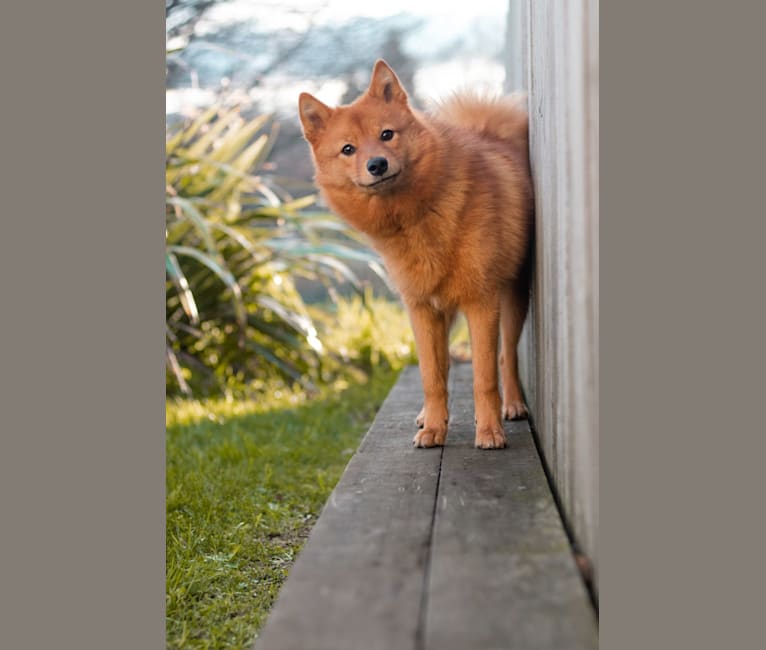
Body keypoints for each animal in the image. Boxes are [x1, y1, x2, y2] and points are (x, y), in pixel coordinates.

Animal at [298, 59, 536, 446]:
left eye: (387, 135)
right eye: (348, 149)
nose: (377, 165)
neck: (415, 218)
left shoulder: (481, 303)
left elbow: (484, 377)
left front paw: (488, 432)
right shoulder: (421, 309)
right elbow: (432, 376)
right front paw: (436, 428)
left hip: (512, 301)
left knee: (507, 357)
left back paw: (513, 405)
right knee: (445, 367)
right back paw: (428, 417)